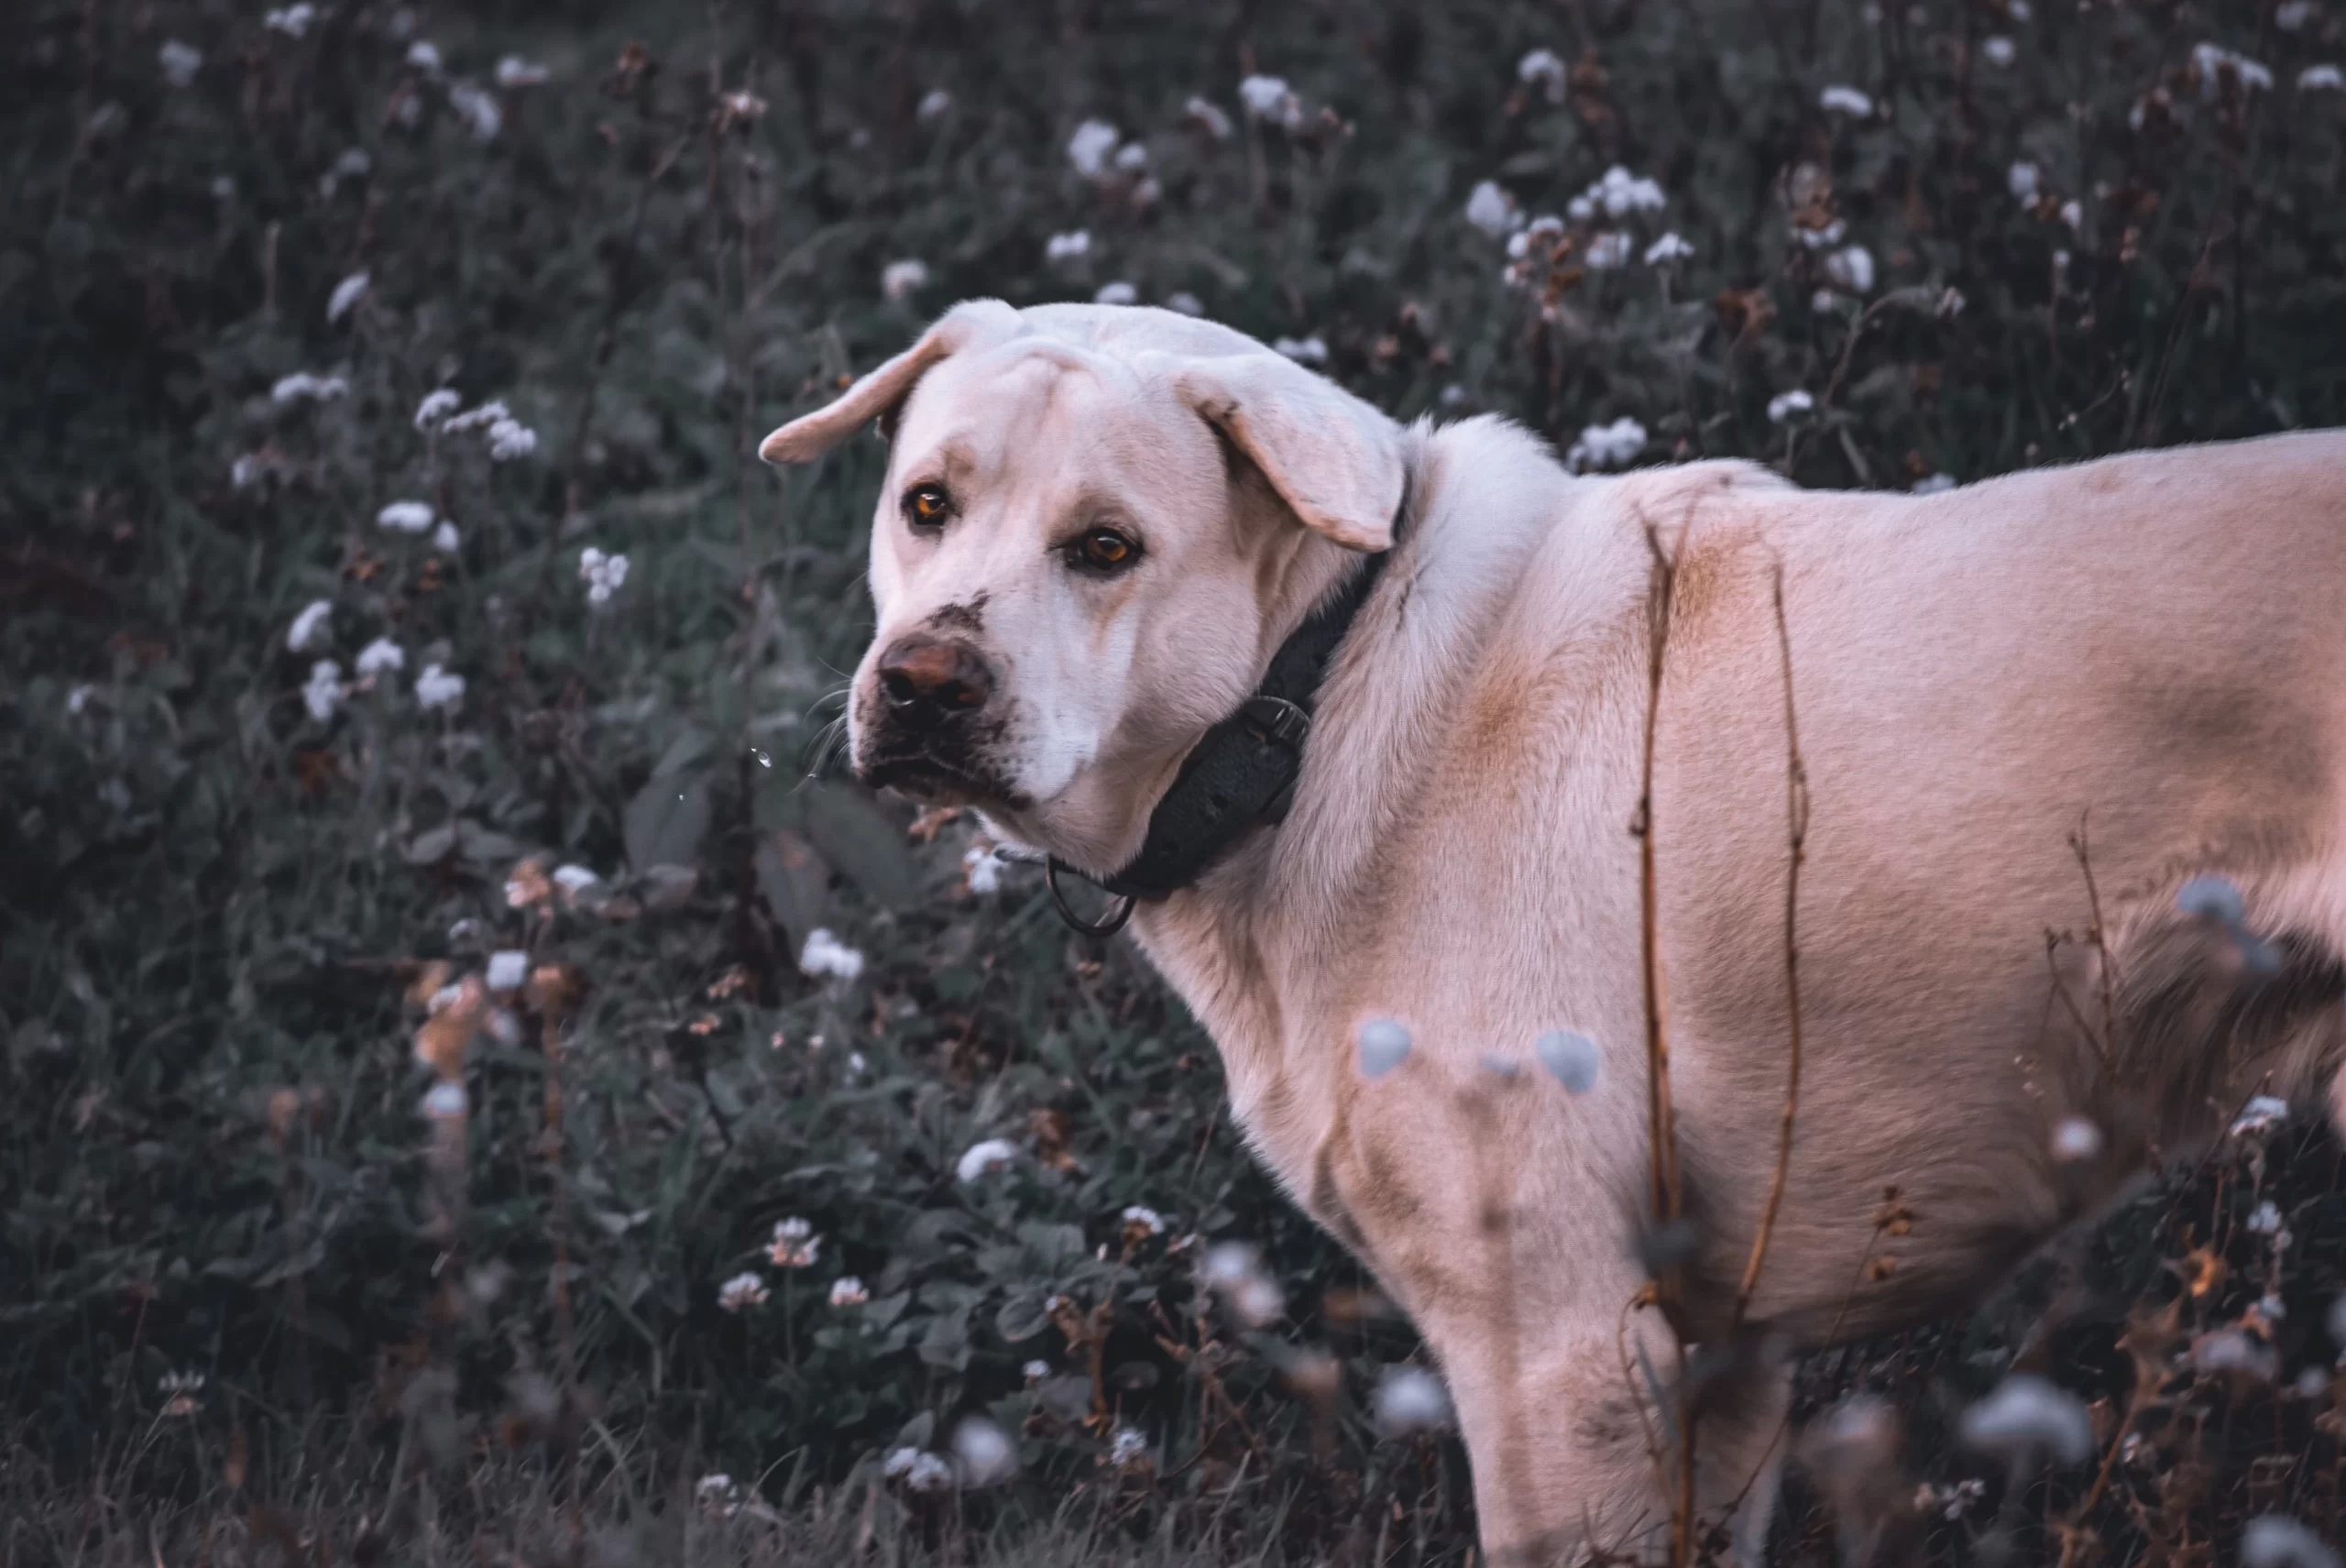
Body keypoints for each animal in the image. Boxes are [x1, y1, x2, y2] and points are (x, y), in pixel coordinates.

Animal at [764, 300, 2346, 1558]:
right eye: (925, 504)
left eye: (1106, 547)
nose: (921, 684)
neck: (1321, 691)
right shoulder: (1719, 1362)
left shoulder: (1561, 1354)